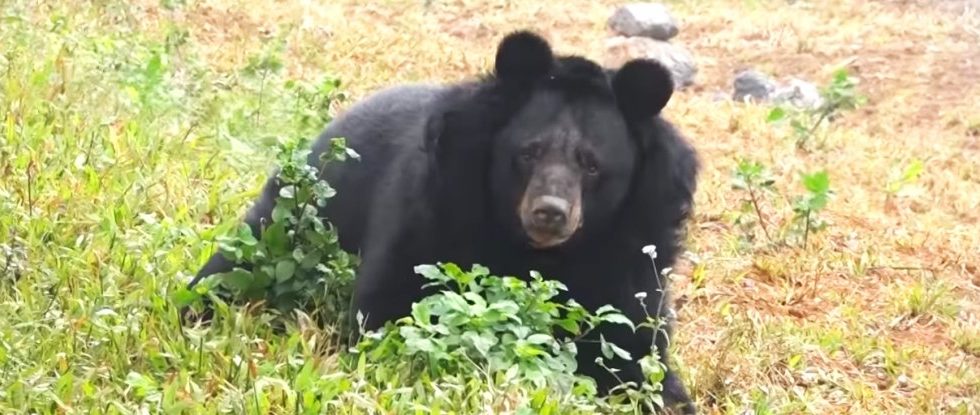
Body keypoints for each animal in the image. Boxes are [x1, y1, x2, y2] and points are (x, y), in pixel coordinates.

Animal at [186, 30, 700, 414]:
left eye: (592, 165)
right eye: (528, 153)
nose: (550, 213)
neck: (542, 251)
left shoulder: (633, 250)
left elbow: (635, 345)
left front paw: (667, 397)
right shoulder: (437, 209)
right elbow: (394, 305)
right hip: (302, 210)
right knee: (236, 264)